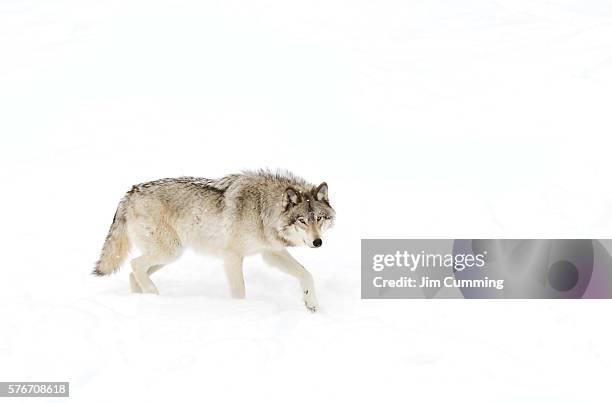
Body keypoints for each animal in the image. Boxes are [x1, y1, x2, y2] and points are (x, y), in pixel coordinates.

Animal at [93, 170, 338, 312]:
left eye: (319, 218)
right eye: (302, 220)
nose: (318, 242)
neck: (262, 208)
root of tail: (129, 194)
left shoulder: (271, 253)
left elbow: (306, 274)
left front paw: (312, 304)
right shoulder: (232, 257)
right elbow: (239, 291)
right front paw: (239, 311)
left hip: (169, 255)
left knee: (133, 274)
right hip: (169, 252)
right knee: (134, 265)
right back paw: (155, 294)